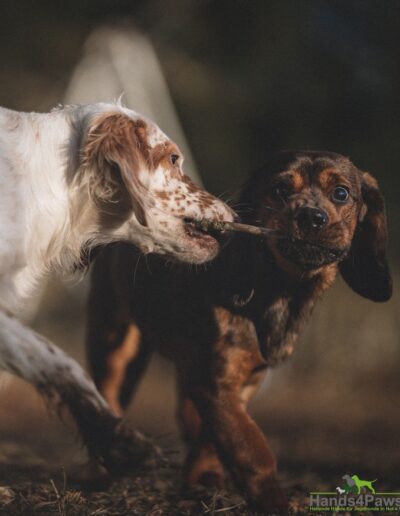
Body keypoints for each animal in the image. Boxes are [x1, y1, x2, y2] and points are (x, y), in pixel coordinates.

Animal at [0, 101, 233, 472]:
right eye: (172, 158)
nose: (232, 213)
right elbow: (52, 359)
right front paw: (118, 440)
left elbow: (57, 361)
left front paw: (116, 440)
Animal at [86, 150, 392, 510]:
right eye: (279, 190)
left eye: (341, 193)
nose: (310, 217)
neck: (281, 292)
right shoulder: (215, 383)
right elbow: (252, 450)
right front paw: (275, 501)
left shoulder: (242, 381)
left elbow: (214, 435)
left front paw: (204, 479)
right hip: (116, 346)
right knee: (107, 398)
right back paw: (106, 470)